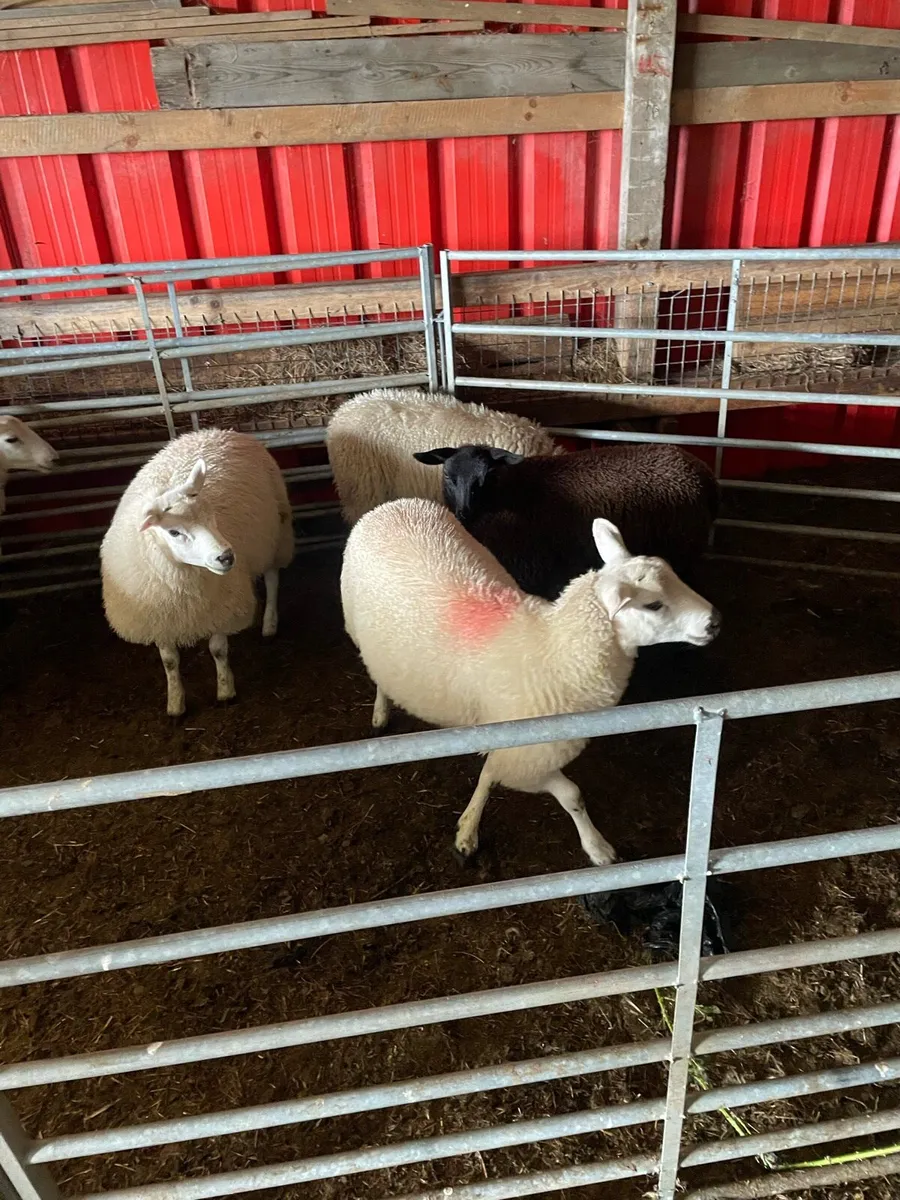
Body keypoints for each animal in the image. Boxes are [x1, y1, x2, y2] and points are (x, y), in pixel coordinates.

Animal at [101, 429, 294, 718]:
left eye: (212, 517)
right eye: (173, 532)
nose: (226, 557)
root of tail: (216, 431)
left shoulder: (220, 606)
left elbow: (218, 650)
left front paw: (225, 691)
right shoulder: (159, 617)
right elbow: (169, 662)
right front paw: (175, 704)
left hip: (275, 534)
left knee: (272, 578)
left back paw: (269, 623)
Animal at [341, 498, 720, 866]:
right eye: (653, 605)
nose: (715, 621)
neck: (554, 653)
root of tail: (393, 505)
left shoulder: (514, 741)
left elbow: (493, 773)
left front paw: (469, 826)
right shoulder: (528, 752)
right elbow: (571, 795)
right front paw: (595, 846)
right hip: (359, 632)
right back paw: (380, 713)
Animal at [412, 442, 719, 601]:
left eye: (487, 477)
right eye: (448, 476)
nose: (464, 511)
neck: (509, 493)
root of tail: (705, 475)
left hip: (682, 550)